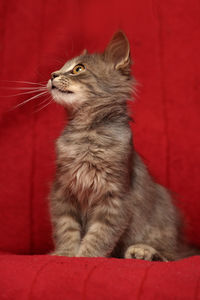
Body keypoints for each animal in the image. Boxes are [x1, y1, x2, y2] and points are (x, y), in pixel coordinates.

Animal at [47, 30, 199, 260]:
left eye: (78, 69)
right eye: (63, 67)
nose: (52, 75)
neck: (86, 133)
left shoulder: (116, 197)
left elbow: (99, 235)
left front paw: (85, 256)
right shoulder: (63, 191)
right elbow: (66, 229)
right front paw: (65, 254)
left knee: (171, 255)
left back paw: (142, 251)